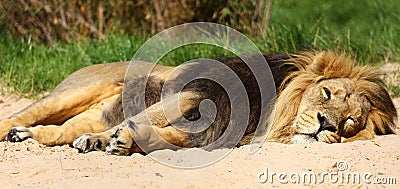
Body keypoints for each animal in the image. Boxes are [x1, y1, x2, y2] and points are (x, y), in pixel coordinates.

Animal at [0, 50, 396, 155]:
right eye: (327, 94)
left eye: (350, 122)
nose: (326, 123)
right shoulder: (196, 92)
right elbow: (143, 119)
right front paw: (115, 140)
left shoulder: (208, 134)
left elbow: (160, 136)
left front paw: (117, 143)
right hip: (70, 93)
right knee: (22, 116)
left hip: (87, 115)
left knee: (58, 132)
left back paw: (28, 136)